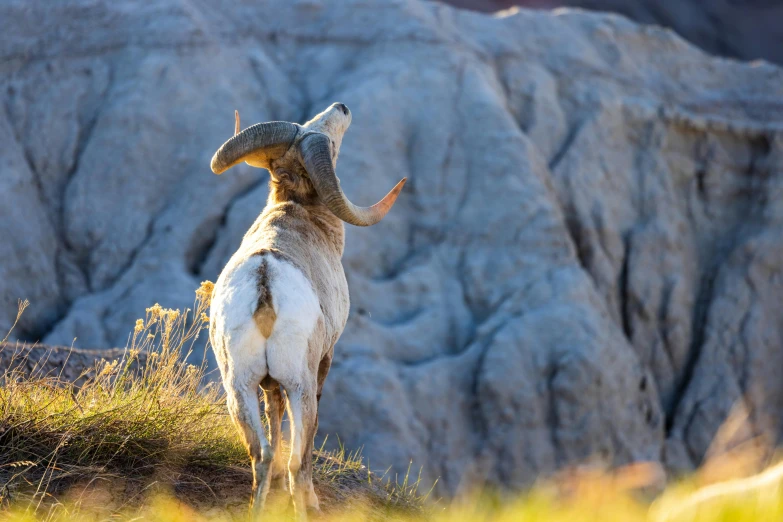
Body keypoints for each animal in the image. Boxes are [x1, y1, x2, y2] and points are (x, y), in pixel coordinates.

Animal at [208, 101, 404, 516]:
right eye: (328, 142)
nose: (341, 107)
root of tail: (264, 282)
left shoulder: (268, 386)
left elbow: (274, 418)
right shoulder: (324, 361)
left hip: (238, 388)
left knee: (261, 454)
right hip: (300, 383)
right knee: (298, 459)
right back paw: (307, 505)